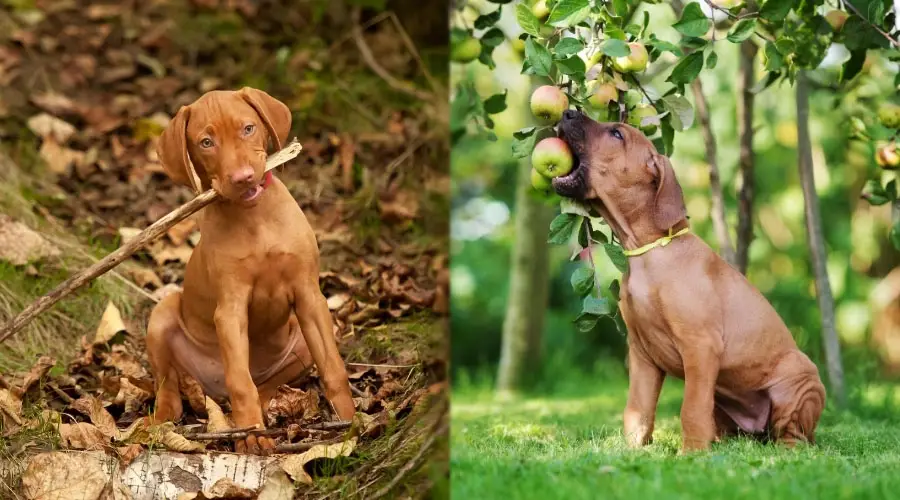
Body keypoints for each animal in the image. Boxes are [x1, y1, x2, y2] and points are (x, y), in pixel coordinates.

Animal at [146, 88, 354, 456]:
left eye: (248, 128)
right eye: (206, 142)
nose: (242, 177)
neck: (254, 216)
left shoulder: (310, 296)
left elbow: (334, 368)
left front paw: (353, 423)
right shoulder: (230, 311)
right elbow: (241, 383)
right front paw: (252, 434)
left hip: (304, 339)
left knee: (268, 383)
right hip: (163, 314)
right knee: (170, 380)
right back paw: (165, 417)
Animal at [556, 110, 828, 454]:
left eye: (617, 134)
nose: (568, 112)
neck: (650, 252)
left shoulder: (700, 347)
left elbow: (691, 408)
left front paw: (691, 454)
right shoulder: (642, 355)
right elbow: (638, 410)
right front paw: (632, 450)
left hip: (798, 381)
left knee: (793, 434)